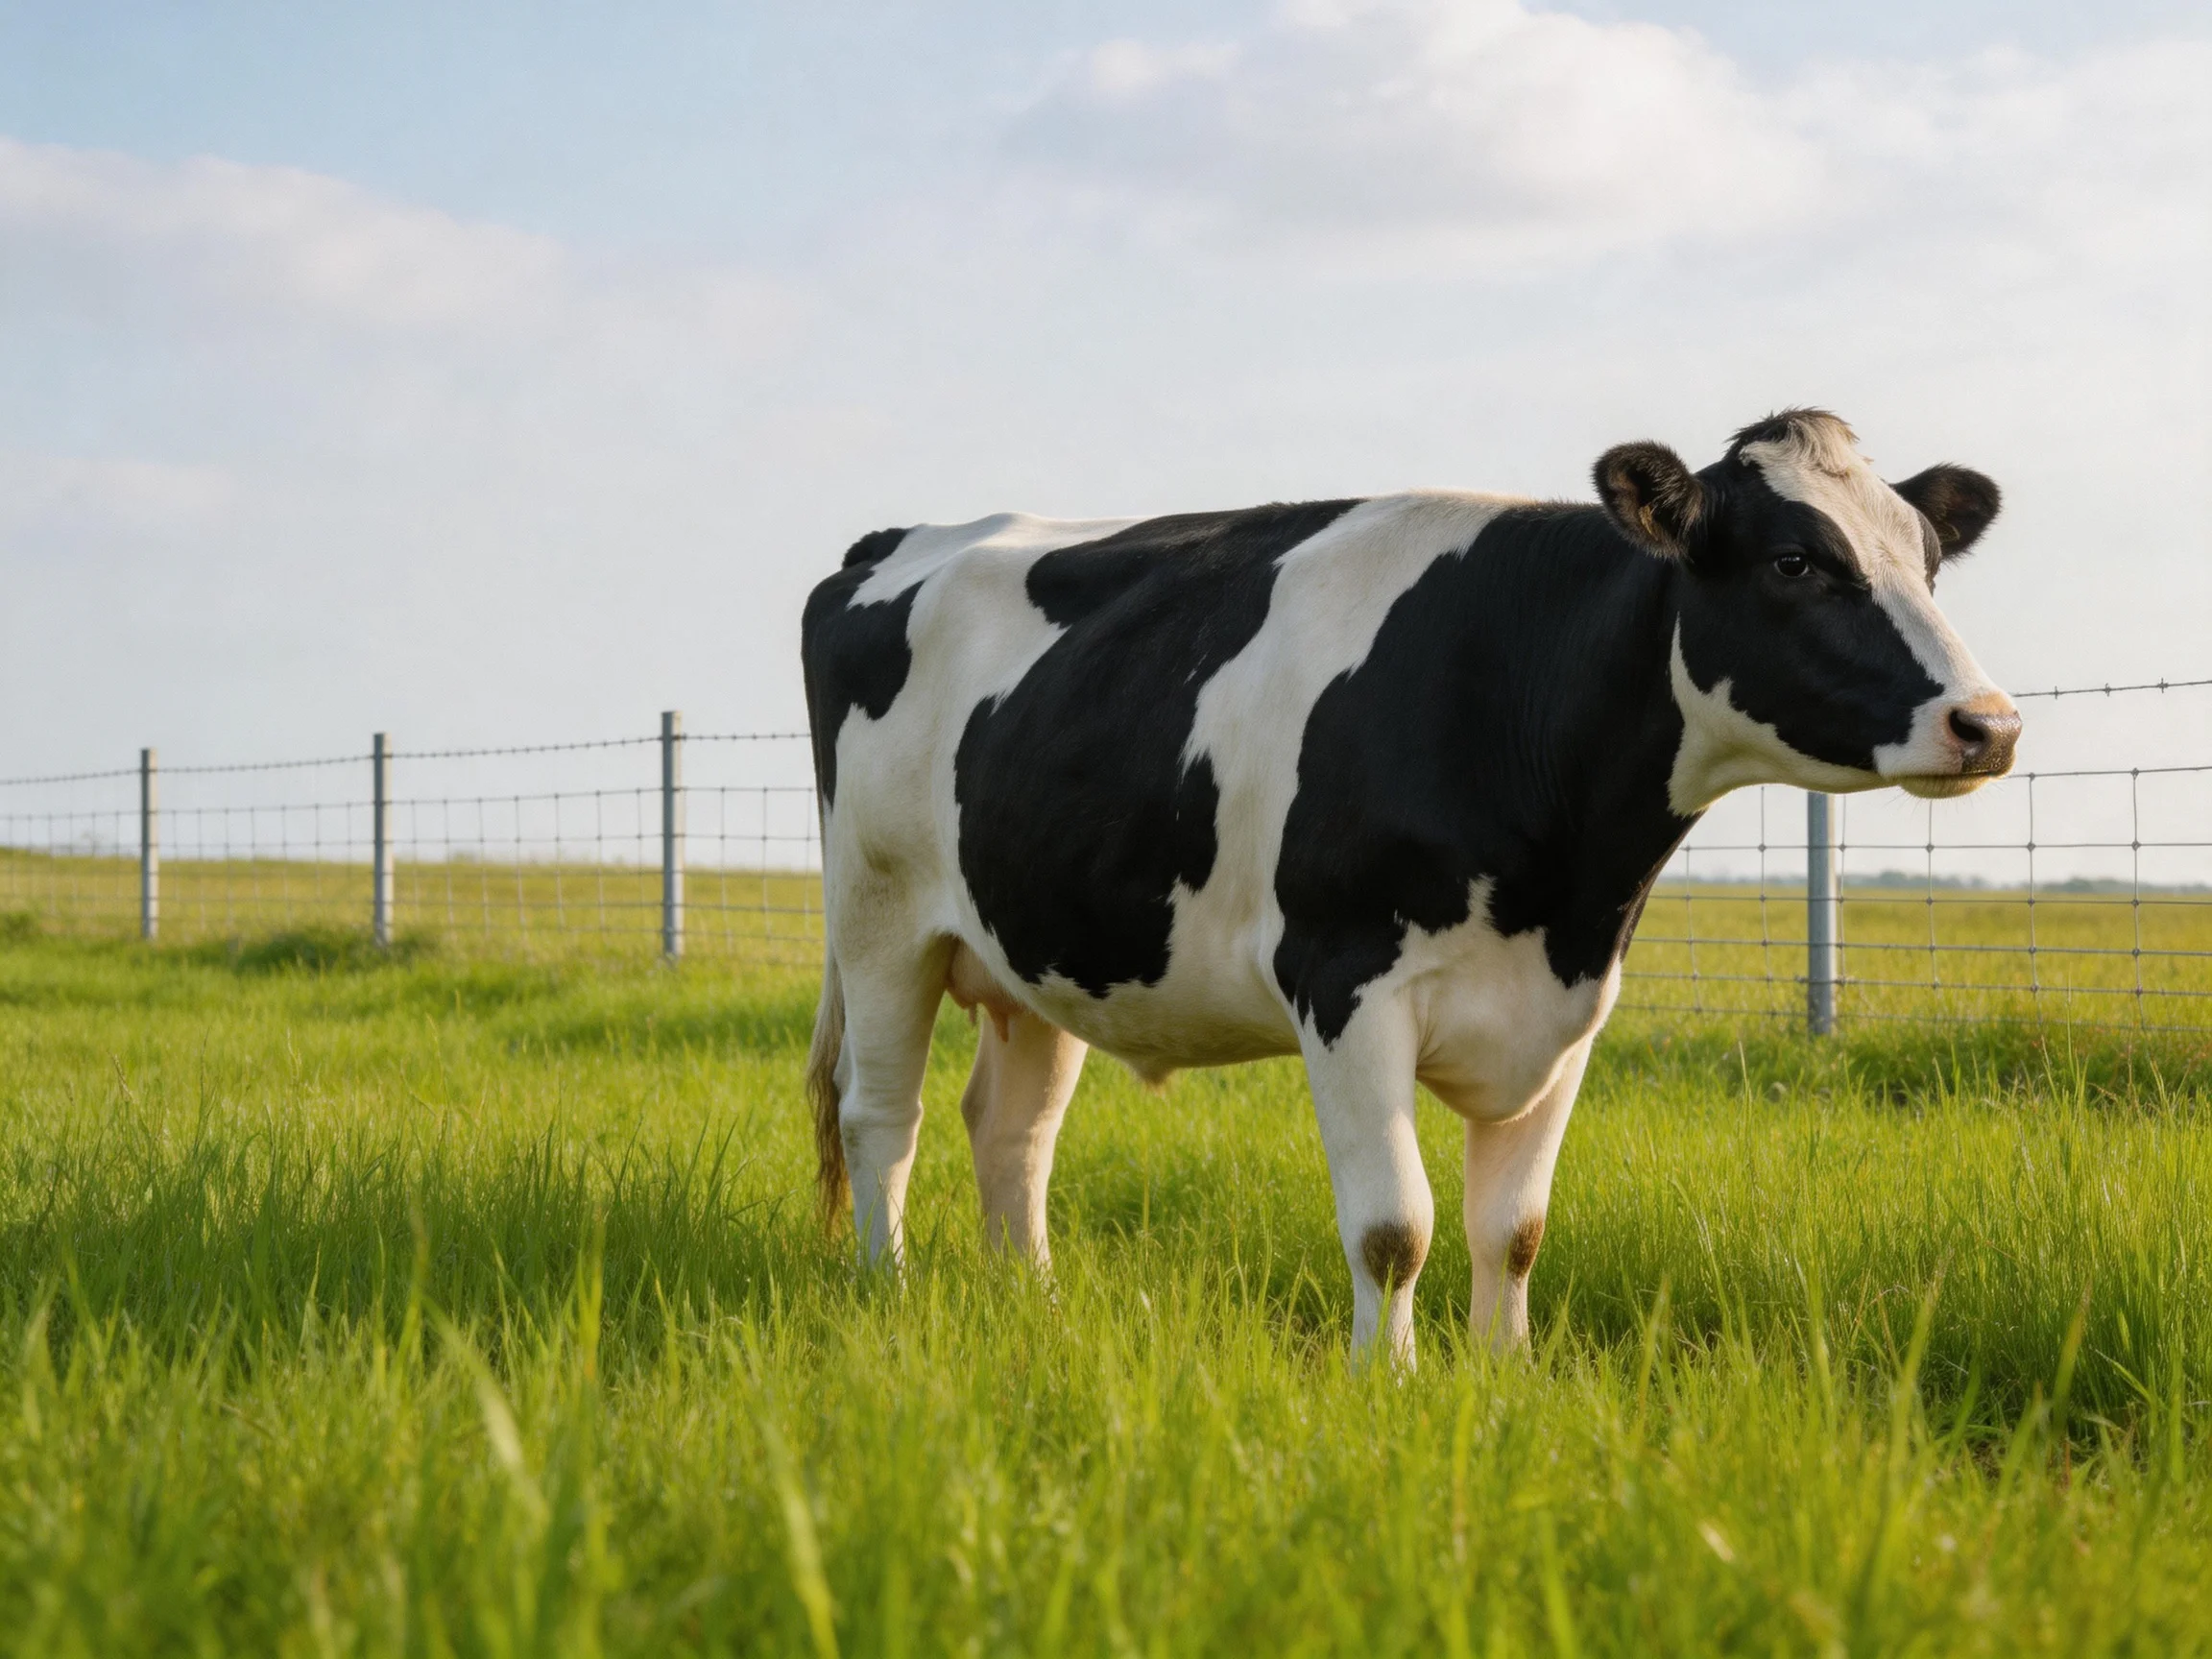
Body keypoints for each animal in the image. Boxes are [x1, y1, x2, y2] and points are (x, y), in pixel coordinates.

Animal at [799, 409, 2018, 1364]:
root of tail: (897, 539)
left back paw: (1035, 1304)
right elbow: (1397, 1227)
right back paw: (883, 1289)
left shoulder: (1571, 1006)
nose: (1990, 723)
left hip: (1037, 947)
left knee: (1011, 1130)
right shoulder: (1344, 980)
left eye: (1928, 563)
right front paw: (1386, 1381)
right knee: (880, 1114)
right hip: (879, 916)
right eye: (1795, 563)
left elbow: (1513, 1229)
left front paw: (1504, 1376)